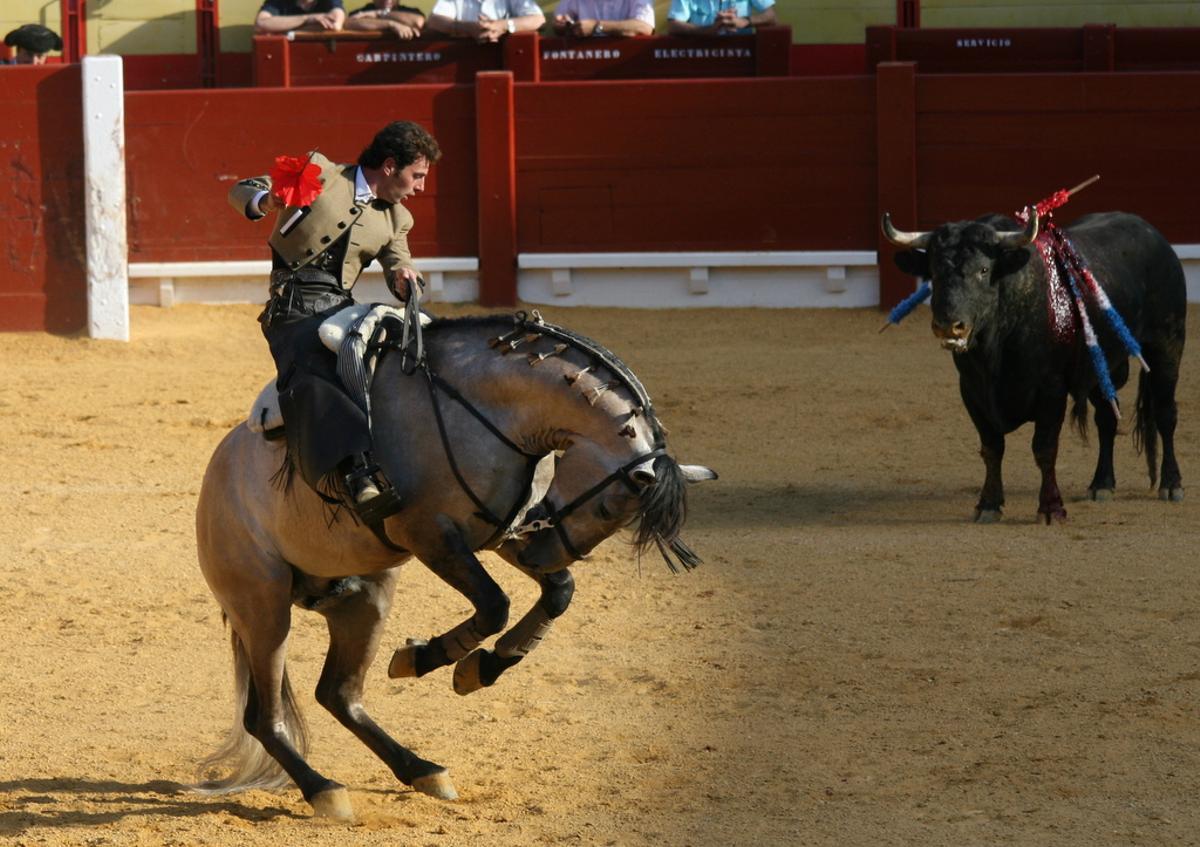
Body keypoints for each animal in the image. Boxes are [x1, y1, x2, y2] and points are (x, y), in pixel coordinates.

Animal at [194, 310, 717, 821]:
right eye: (611, 508)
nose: (540, 554)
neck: (488, 410)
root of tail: (216, 477)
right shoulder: (433, 536)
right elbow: (494, 604)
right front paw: (429, 658)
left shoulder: (503, 531)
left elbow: (559, 592)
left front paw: (480, 668)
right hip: (263, 609)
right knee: (265, 717)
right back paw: (324, 790)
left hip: (364, 600)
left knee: (338, 694)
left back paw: (422, 770)